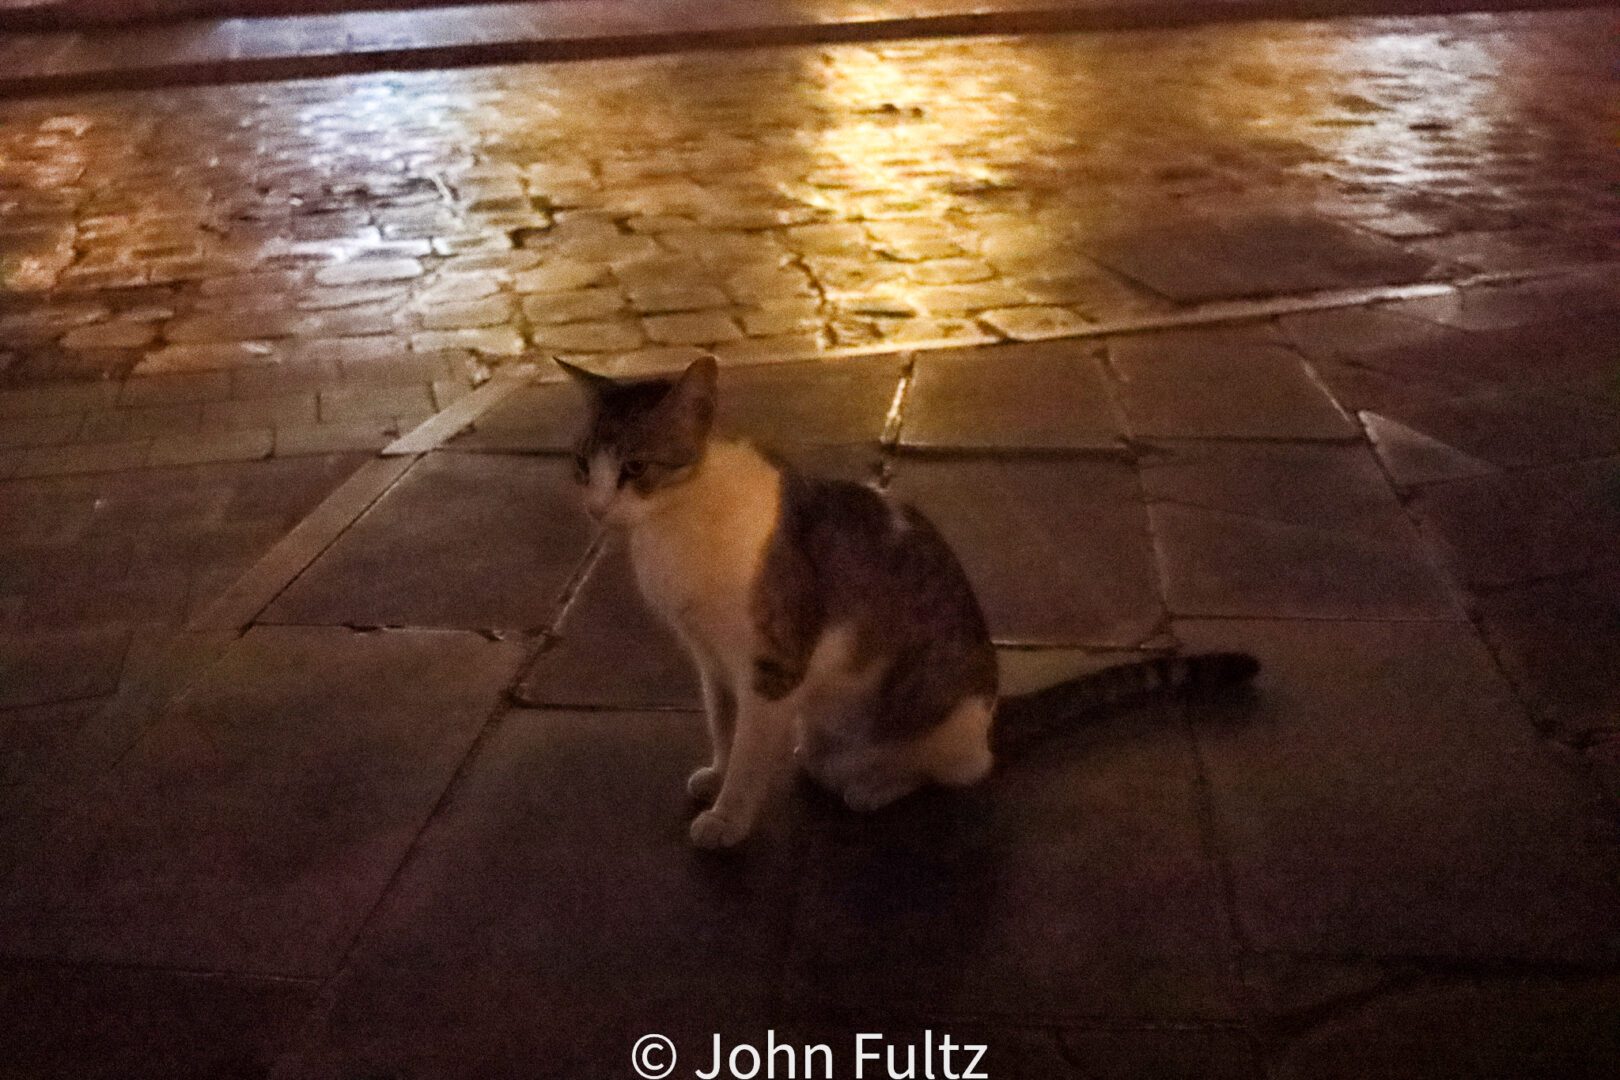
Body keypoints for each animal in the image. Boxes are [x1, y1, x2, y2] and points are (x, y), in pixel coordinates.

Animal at [563, 359, 1257, 848]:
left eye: (635, 469)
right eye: (582, 467)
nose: (594, 508)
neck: (671, 530)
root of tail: (992, 713)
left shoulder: (771, 668)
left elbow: (750, 753)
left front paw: (727, 818)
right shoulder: (712, 665)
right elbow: (724, 727)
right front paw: (716, 771)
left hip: (940, 720)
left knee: (960, 770)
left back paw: (875, 784)